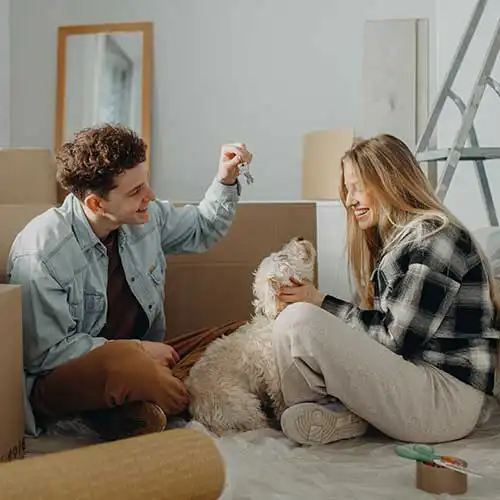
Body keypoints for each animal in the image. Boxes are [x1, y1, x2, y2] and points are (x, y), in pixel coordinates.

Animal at [186, 237, 314, 434]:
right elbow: (282, 402)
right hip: (243, 405)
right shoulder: (276, 376)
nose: (299, 238)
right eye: (282, 257)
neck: (278, 315)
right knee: (258, 425)